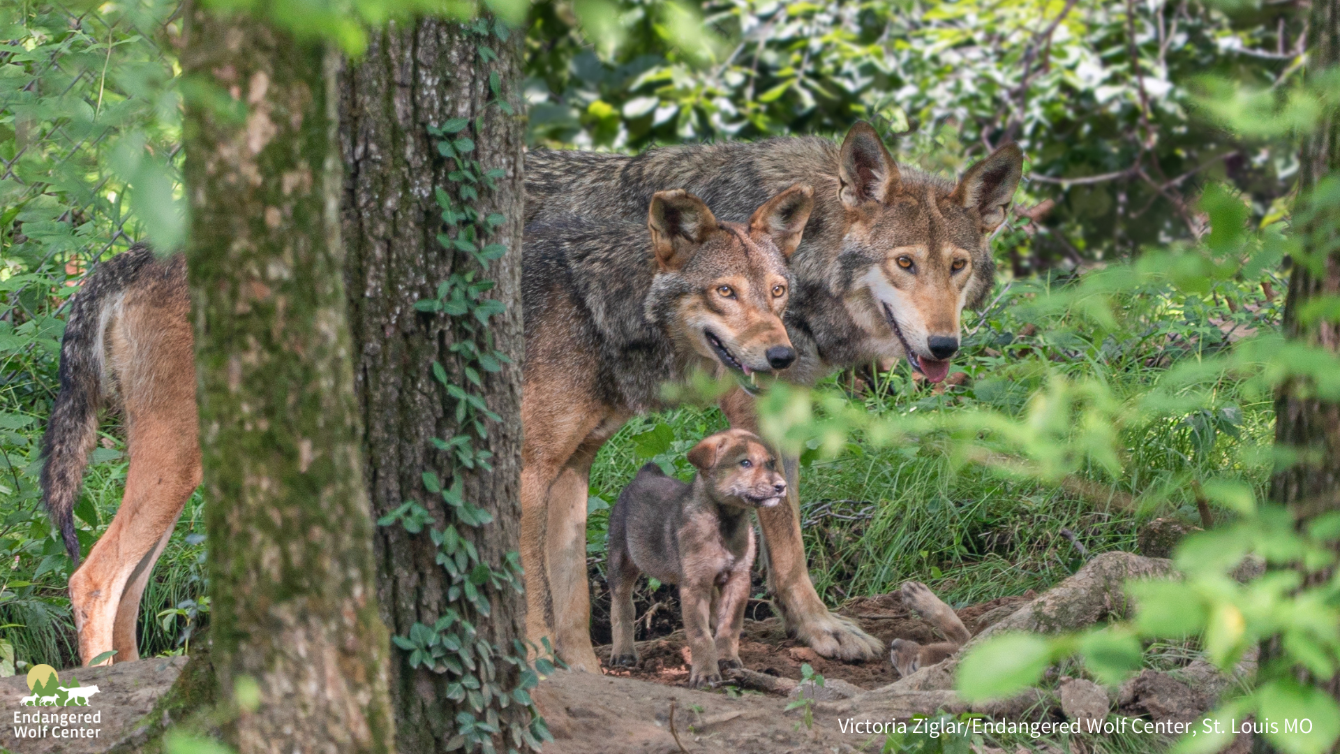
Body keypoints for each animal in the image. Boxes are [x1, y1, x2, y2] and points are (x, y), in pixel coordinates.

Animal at [607, 429, 785, 687]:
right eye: (745, 463)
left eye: (771, 463)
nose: (781, 486)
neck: (725, 522)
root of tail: (646, 473)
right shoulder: (694, 585)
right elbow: (700, 635)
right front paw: (705, 674)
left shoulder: (738, 578)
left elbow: (729, 626)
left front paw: (727, 659)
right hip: (621, 562)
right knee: (622, 608)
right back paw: (623, 653)